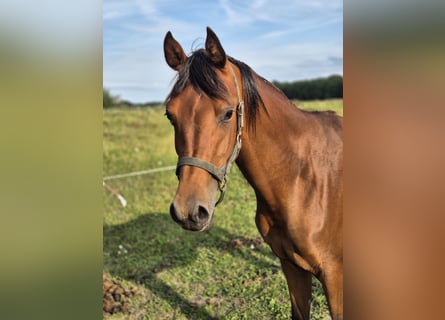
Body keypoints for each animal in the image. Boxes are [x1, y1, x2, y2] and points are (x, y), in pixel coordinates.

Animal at [164, 28, 344, 320]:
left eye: (228, 113)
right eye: (170, 116)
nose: (188, 211)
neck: (304, 180)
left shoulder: (335, 274)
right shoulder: (291, 265)